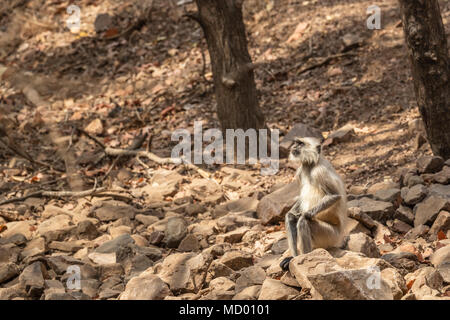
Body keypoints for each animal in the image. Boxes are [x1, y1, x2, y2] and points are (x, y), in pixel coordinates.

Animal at [282, 137, 348, 270]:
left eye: (300, 143)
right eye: (296, 142)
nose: (293, 146)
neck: (310, 165)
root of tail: (339, 238)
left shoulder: (320, 171)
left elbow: (335, 195)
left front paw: (303, 214)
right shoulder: (300, 172)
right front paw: (292, 213)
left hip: (330, 236)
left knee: (303, 222)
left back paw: (304, 257)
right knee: (290, 218)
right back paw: (294, 257)